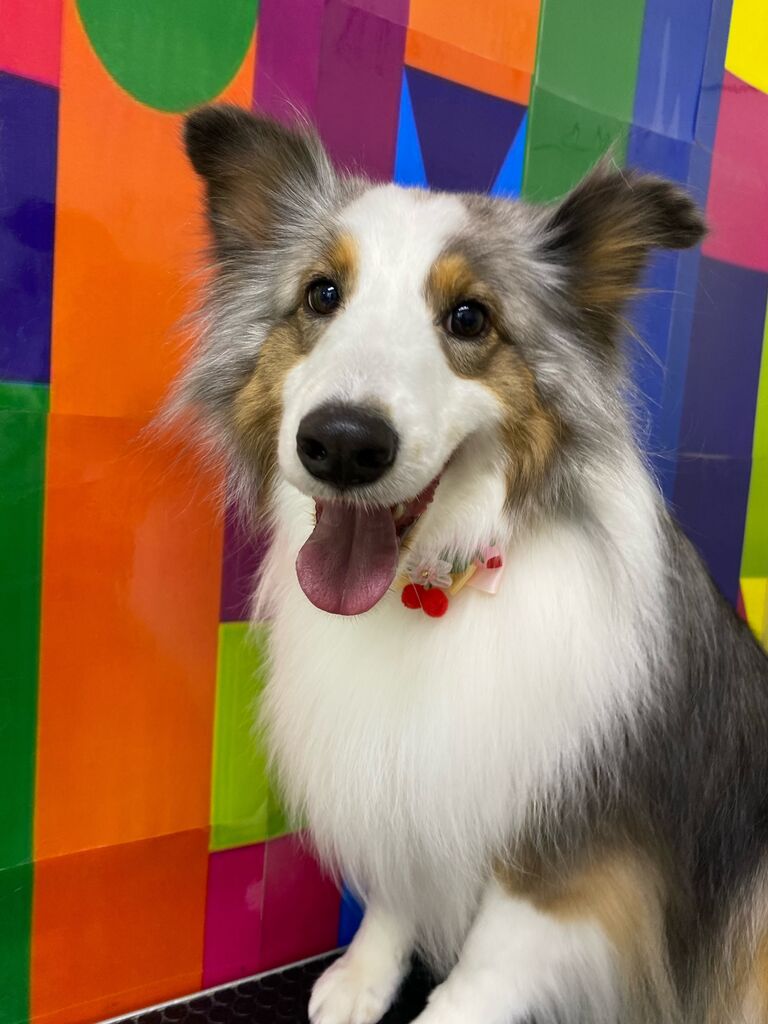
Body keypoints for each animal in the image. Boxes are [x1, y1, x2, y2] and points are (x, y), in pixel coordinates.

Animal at [174, 104, 768, 1023]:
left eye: (469, 319)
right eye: (321, 295)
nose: (342, 443)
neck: (430, 588)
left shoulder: (571, 844)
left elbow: (484, 969)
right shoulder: (405, 774)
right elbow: (394, 894)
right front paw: (363, 978)